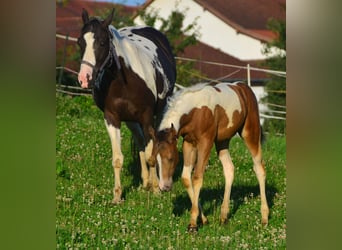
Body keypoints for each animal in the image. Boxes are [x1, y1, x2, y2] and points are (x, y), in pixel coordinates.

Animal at [77, 8, 176, 204]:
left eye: (102, 42)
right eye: (80, 42)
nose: (84, 78)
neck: (125, 82)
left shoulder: (147, 117)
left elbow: (152, 154)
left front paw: (156, 190)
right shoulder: (112, 118)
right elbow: (118, 159)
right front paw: (117, 196)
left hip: (157, 114)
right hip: (131, 120)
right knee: (140, 142)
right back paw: (145, 182)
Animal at [154, 81, 268, 230]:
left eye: (171, 158)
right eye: (155, 160)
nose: (164, 187)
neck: (195, 110)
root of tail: (244, 87)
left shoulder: (205, 142)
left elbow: (197, 177)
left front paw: (192, 224)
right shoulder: (188, 143)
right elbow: (186, 178)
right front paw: (203, 219)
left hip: (250, 133)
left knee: (259, 168)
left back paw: (264, 218)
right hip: (222, 141)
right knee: (229, 169)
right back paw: (223, 217)